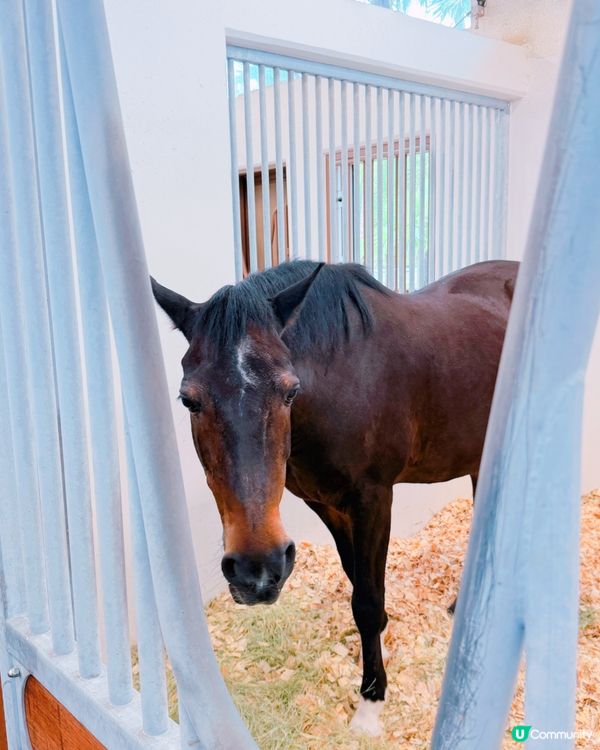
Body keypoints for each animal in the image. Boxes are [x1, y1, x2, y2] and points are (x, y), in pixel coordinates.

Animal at [151, 258, 518, 736]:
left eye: (290, 390)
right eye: (188, 400)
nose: (256, 570)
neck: (341, 382)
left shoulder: (374, 500)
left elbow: (367, 599)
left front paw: (371, 701)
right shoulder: (324, 503)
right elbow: (357, 580)